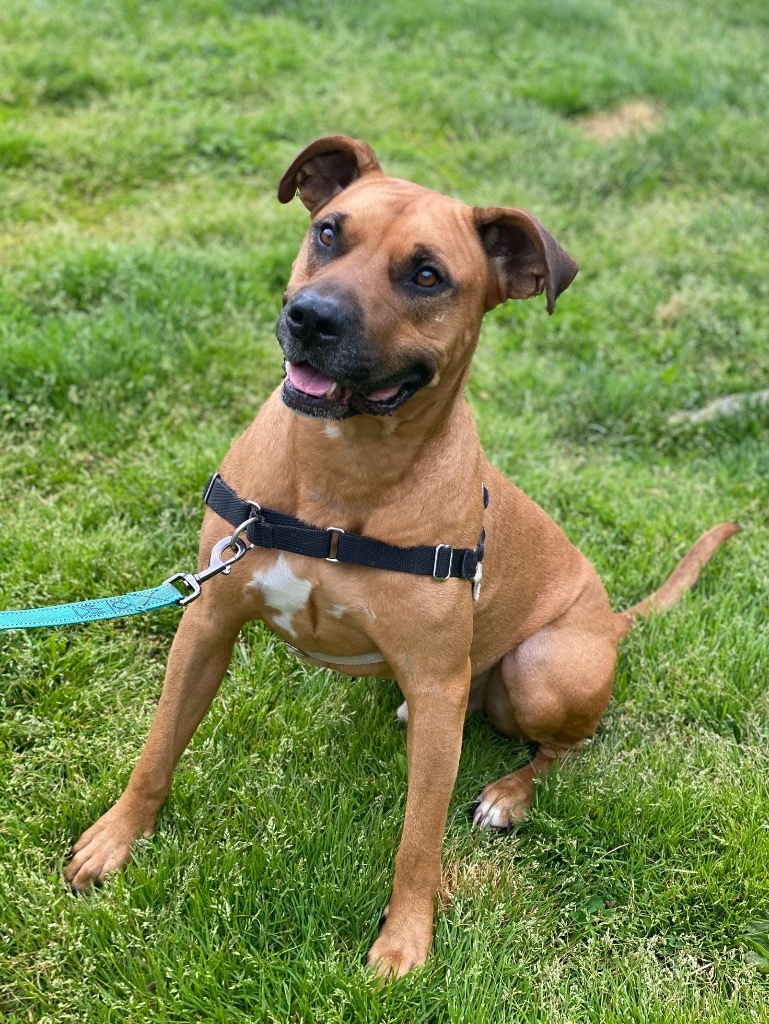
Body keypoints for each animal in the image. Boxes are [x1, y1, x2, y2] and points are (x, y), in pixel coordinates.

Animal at [67, 134, 741, 974]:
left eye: (427, 276)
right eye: (327, 232)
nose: (310, 318)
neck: (340, 470)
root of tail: (612, 621)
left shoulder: (435, 682)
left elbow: (419, 837)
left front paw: (404, 940)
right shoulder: (207, 622)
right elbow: (157, 750)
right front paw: (114, 841)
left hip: (542, 668)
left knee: (568, 744)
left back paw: (509, 793)